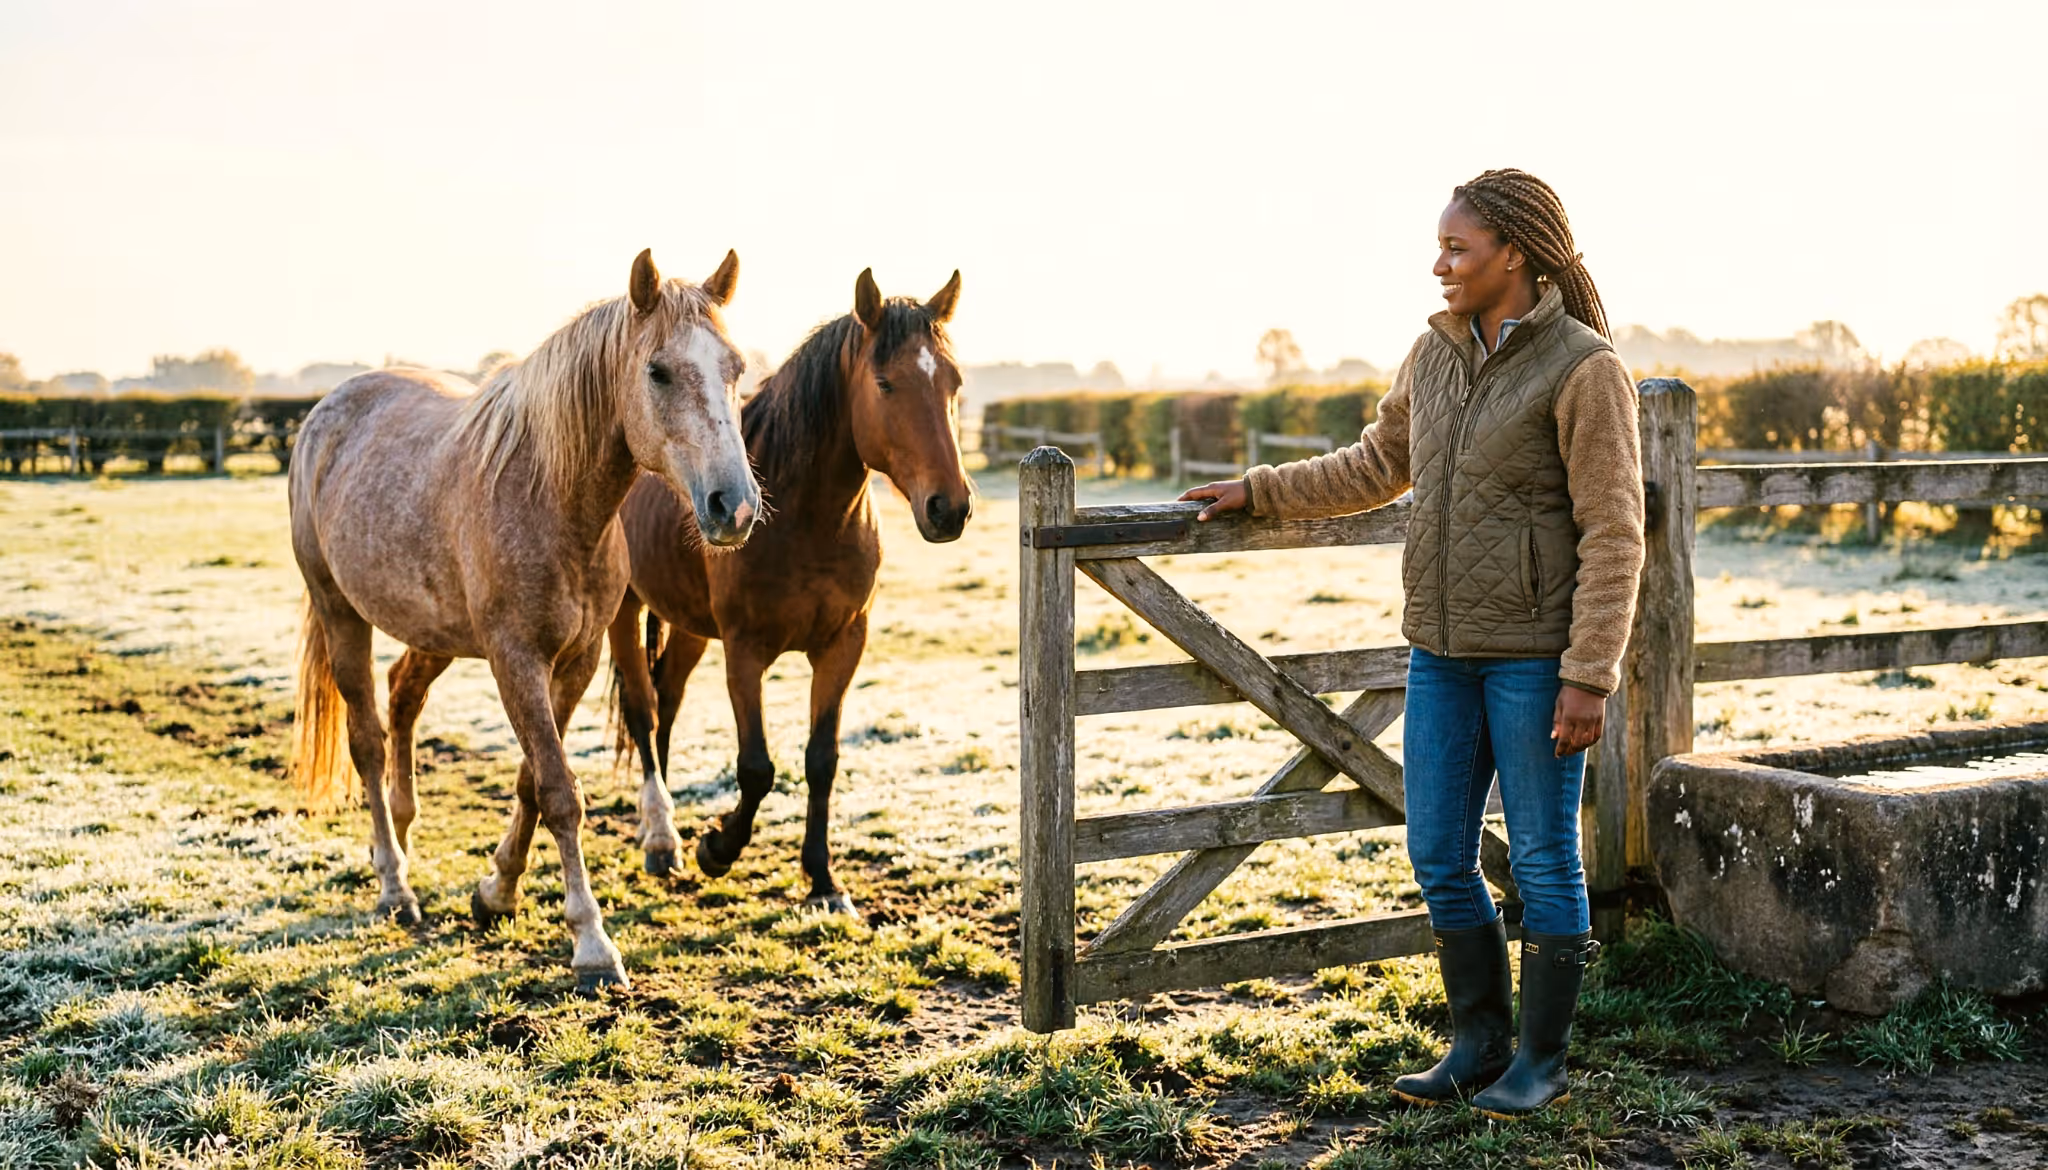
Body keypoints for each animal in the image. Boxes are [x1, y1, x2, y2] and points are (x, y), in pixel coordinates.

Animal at [288, 249, 761, 991]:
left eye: (736, 368)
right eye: (658, 371)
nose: (732, 507)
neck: (552, 497)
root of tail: (325, 414)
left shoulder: (578, 659)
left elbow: (531, 782)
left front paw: (495, 892)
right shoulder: (516, 660)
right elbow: (560, 791)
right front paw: (593, 945)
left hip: (434, 631)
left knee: (404, 695)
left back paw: (401, 834)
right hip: (340, 613)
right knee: (366, 739)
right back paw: (394, 884)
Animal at [607, 268, 971, 914]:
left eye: (953, 382)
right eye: (885, 383)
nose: (948, 508)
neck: (806, 519)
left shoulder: (843, 646)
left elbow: (821, 760)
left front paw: (823, 881)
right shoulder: (744, 651)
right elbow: (757, 767)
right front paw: (717, 848)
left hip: (687, 626)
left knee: (667, 698)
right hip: (626, 612)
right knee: (643, 711)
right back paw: (659, 839)